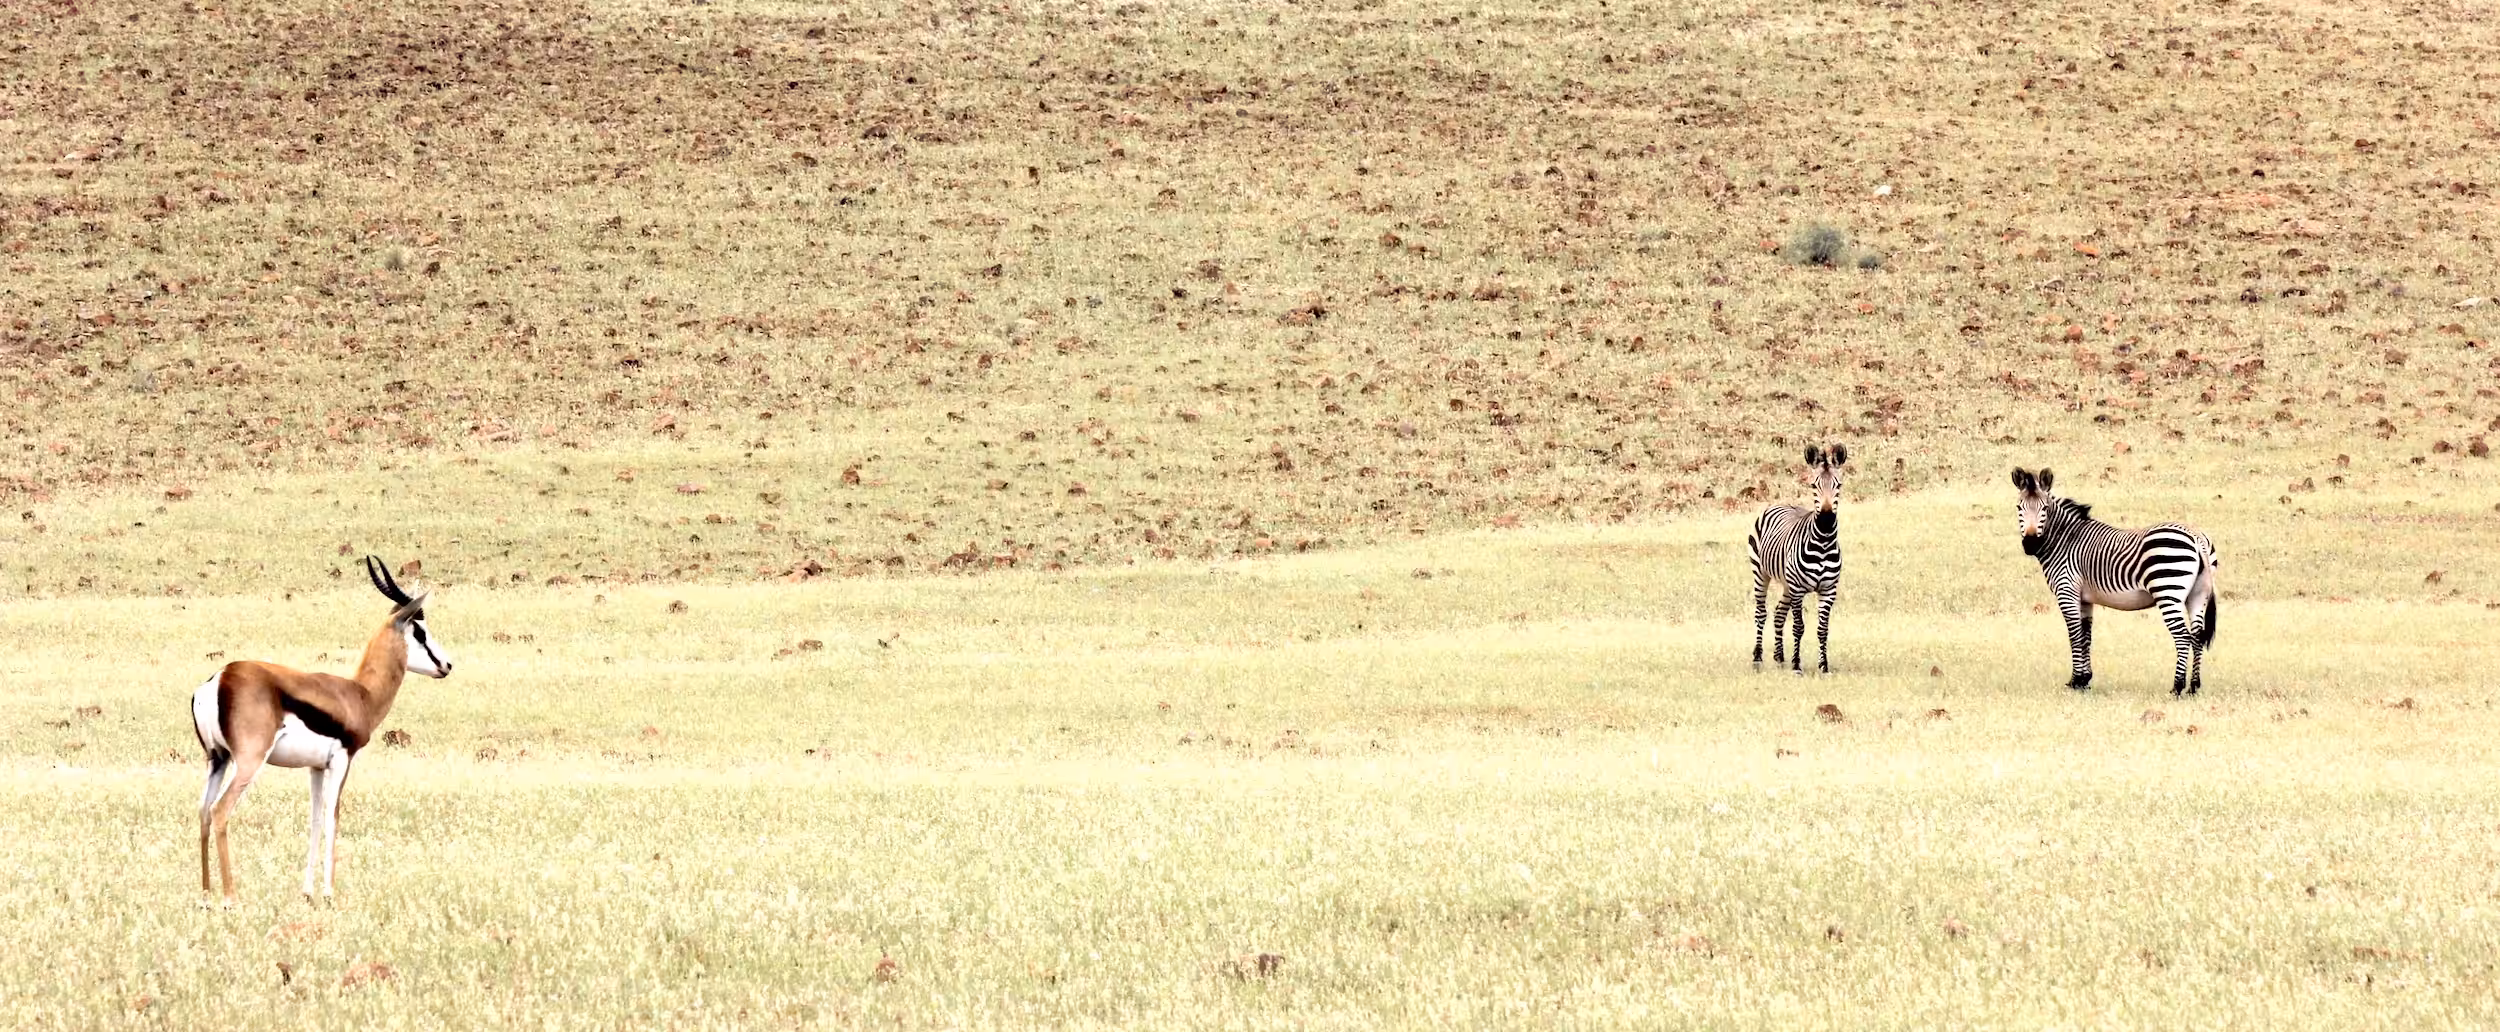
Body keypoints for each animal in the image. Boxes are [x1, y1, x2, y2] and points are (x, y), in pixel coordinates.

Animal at [1750, 444, 1847, 674]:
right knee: (1761, 613)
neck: (1823, 544)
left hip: (1786, 583)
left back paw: (1779, 657)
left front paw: (1824, 666)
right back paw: (1758, 658)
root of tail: (1780, 503)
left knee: (1778, 613)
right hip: (1761, 573)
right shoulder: (1798, 589)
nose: (1826, 520)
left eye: (1838, 485)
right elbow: (1798, 627)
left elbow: (1823, 629)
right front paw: (1796, 665)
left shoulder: (1828, 590)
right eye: (1814, 485)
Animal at [2012, 468, 2220, 695]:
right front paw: (2085, 680)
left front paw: (2075, 681)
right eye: (2019, 507)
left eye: (2045, 508)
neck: (2065, 540)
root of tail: (2196, 537)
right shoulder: (2085, 599)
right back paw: (2194, 687)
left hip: (2168, 591)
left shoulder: (2067, 592)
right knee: (2197, 636)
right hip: (2198, 595)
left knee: (2183, 637)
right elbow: (2086, 636)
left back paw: (2177, 687)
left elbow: (2074, 635)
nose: (2030, 544)